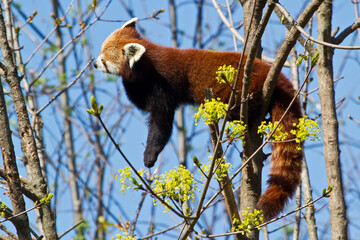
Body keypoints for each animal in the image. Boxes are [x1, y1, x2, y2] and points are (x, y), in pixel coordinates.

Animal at [93, 17, 304, 220]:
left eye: (103, 59)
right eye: (100, 54)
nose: (94, 64)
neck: (149, 62)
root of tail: (275, 75)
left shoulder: (162, 87)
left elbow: (161, 125)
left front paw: (150, 156)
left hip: (245, 91)